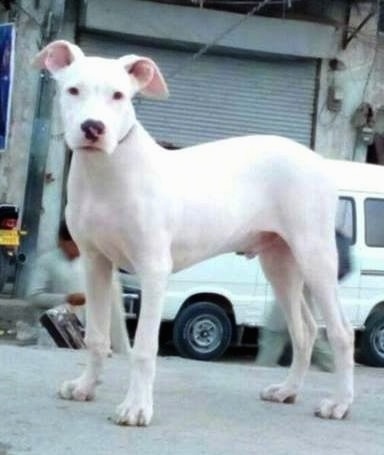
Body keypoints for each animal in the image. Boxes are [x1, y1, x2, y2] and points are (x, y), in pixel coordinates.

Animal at [34, 40, 356, 428]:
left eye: (118, 95)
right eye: (73, 90)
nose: (93, 128)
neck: (107, 171)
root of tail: (318, 160)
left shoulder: (153, 268)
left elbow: (144, 348)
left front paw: (136, 408)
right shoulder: (95, 262)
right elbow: (96, 336)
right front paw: (85, 387)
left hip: (315, 254)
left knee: (341, 332)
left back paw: (339, 403)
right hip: (280, 261)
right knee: (304, 330)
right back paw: (287, 390)